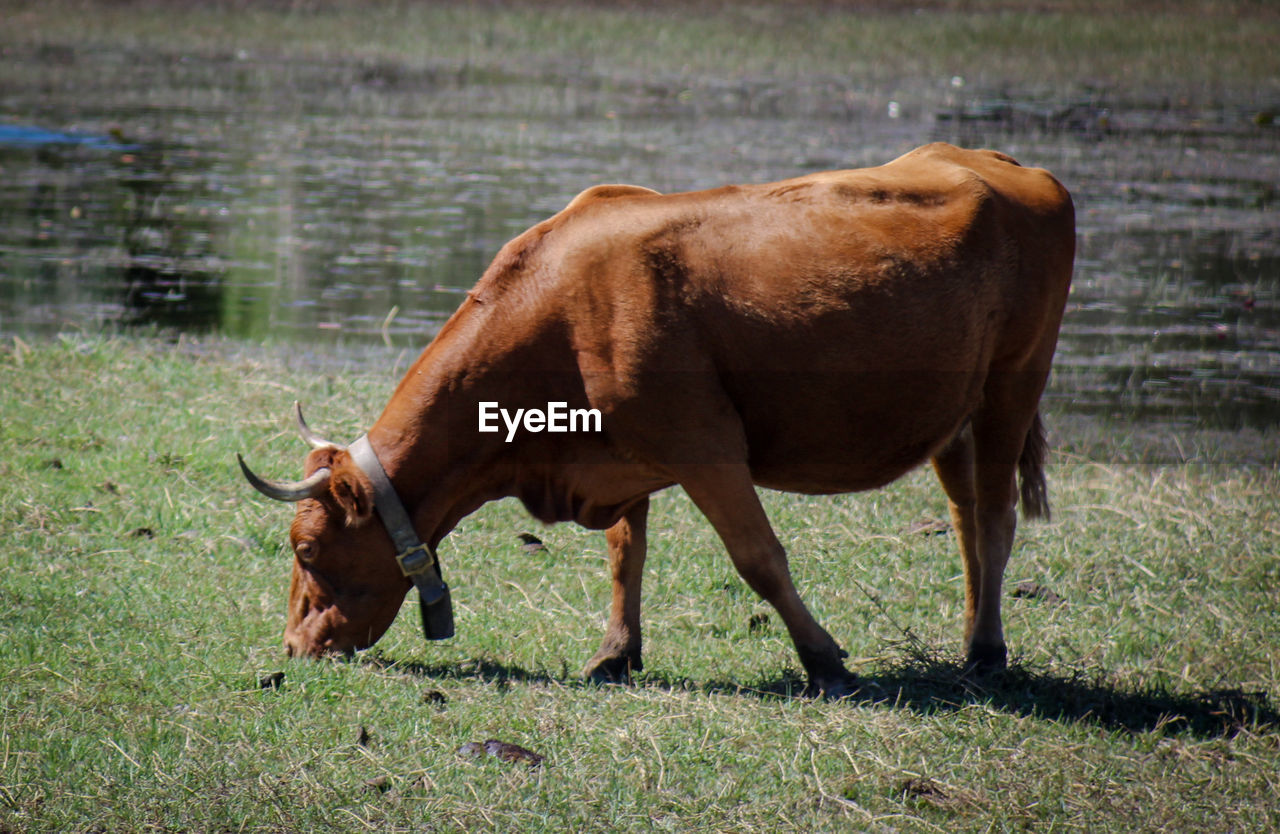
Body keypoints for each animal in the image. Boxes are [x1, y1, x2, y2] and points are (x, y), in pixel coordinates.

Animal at [238, 141, 1070, 695]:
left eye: (307, 548)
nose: (292, 646)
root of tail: (999, 164)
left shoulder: (703, 445)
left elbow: (759, 558)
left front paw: (824, 659)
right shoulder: (619, 451)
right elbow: (623, 553)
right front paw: (616, 653)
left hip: (1014, 384)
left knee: (994, 516)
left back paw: (987, 653)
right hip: (954, 416)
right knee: (965, 518)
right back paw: (971, 642)